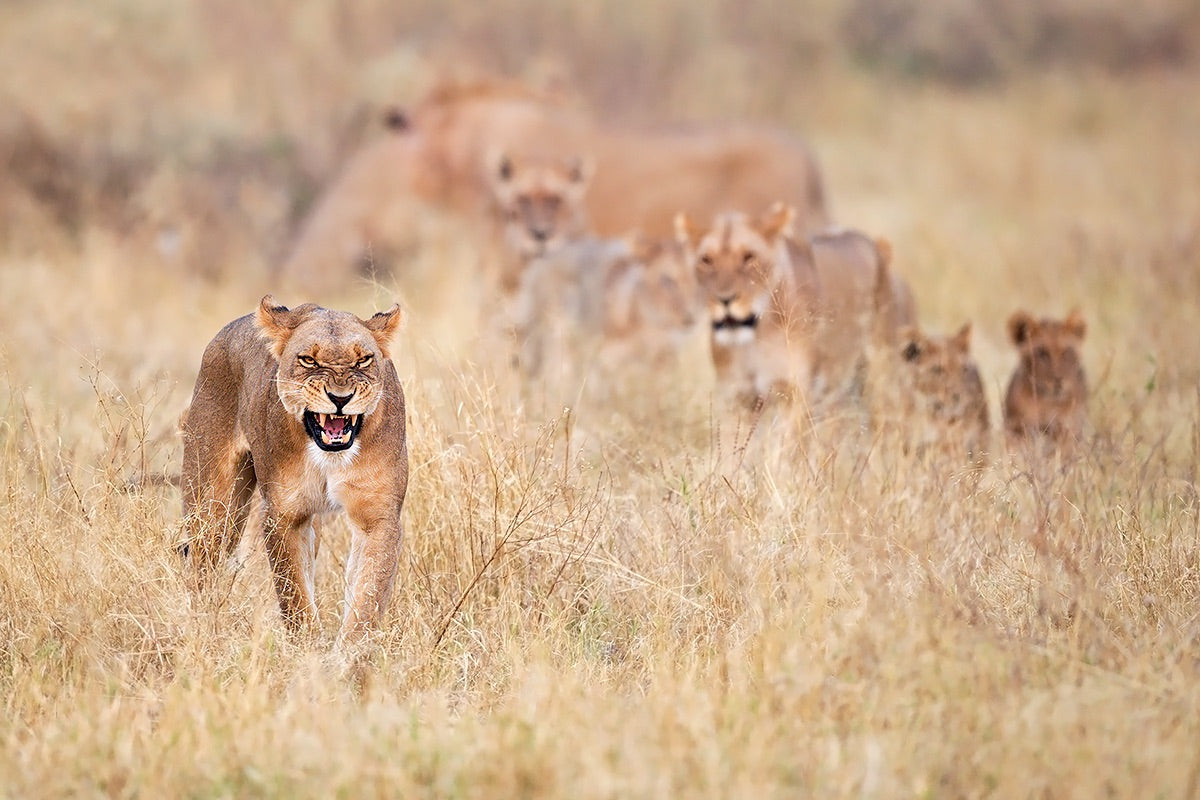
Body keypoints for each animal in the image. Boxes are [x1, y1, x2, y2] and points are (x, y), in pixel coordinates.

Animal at [179, 295, 407, 648]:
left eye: (364, 360)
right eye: (309, 360)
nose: (340, 399)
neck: (328, 457)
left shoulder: (378, 515)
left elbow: (367, 597)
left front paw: (349, 657)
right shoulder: (284, 514)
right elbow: (295, 595)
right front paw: (308, 651)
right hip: (214, 507)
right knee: (202, 565)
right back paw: (200, 627)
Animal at [675, 204, 890, 414]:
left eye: (749, 257)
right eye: (706, 260)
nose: (724, 299)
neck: (753, 340)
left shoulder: (793, 392)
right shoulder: (736, 395)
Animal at [1003, 309, 1088, 448]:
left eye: (1067, 351)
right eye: (1042, 353)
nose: (1058, 381)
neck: (1047, 402)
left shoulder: (1068, 429)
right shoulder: (1017, 428)